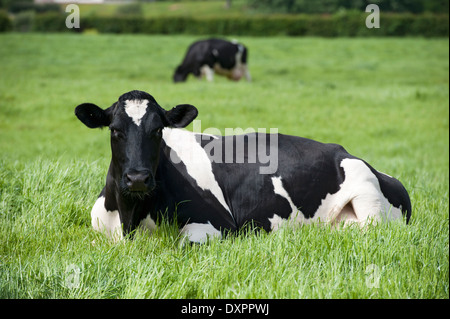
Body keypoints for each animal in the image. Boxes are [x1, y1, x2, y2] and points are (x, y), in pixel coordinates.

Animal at [74, 89, 412, 242]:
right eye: (114, 130)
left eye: (158, 130)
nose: (138, 178)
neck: (130, 218)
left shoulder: (218, 224)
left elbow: (182, 244)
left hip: (369, 203)